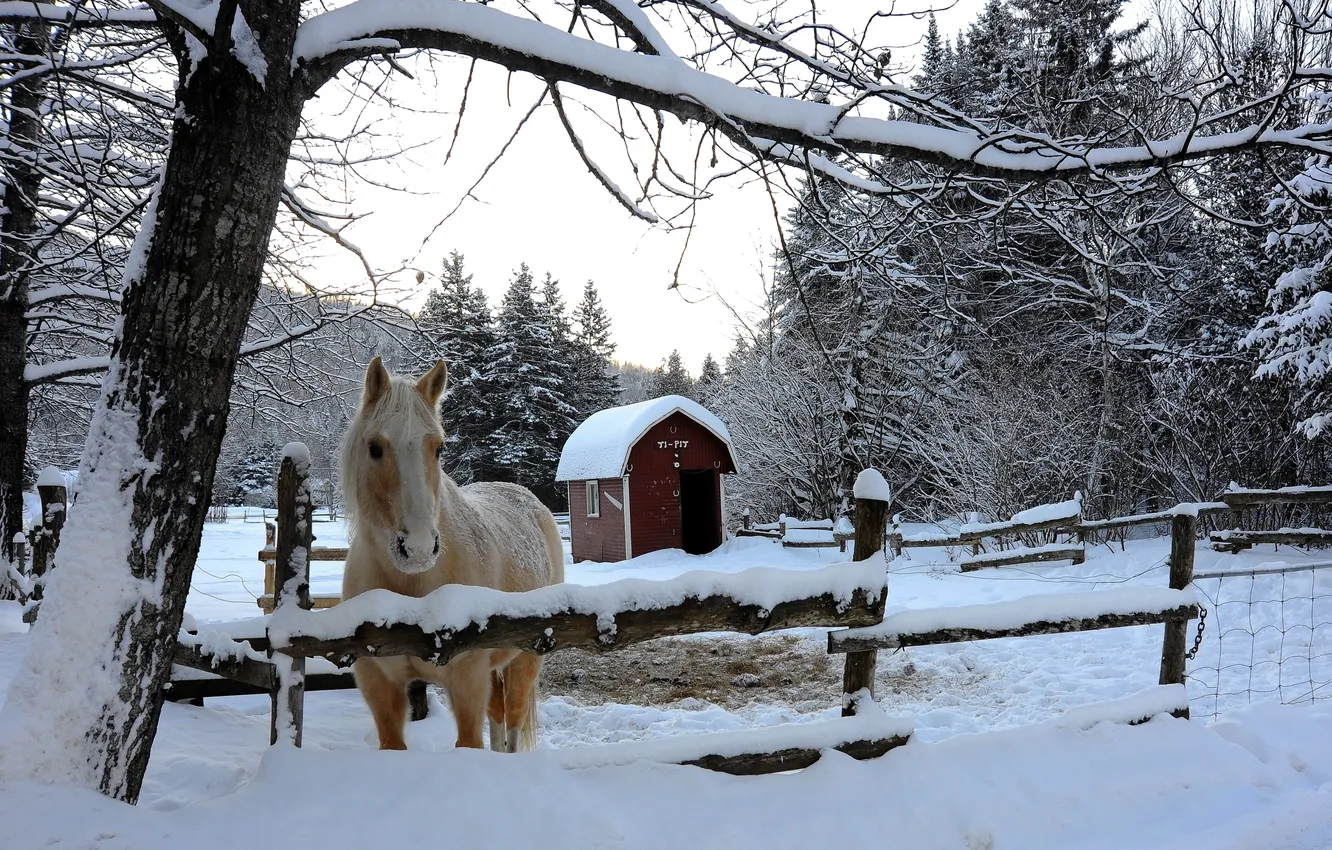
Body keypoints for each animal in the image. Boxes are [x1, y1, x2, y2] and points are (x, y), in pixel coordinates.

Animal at [340, 357, 564, 751]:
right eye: (375, 447)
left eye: (439, 448)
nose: (417, 547)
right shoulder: (378, 686)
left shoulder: (468, 680)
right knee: (499, 719)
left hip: (525, 658)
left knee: (513, 723)